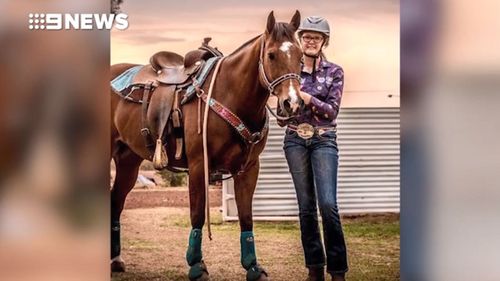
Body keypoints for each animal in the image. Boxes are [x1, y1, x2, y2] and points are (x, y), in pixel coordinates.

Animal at [111, 10, 302, 280]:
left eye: (300, 56)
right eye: (272, 55)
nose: (292, 104)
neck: (230, 94)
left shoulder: (248, 168)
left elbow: (246, 217)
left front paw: (253, 267)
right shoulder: (198, 164)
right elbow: (197, 214)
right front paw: (196, 265)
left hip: (128, 160)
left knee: (116, 200)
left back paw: (116, 259)